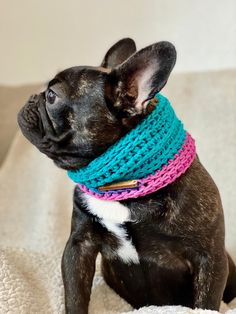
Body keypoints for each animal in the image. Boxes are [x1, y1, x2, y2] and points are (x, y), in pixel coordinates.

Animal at [17, 38, 236, 312]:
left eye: (51, 96)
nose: (31, 97)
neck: (120, 187)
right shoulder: (79, 246)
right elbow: (75, 294)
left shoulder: (209, 257)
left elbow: (206, 302)